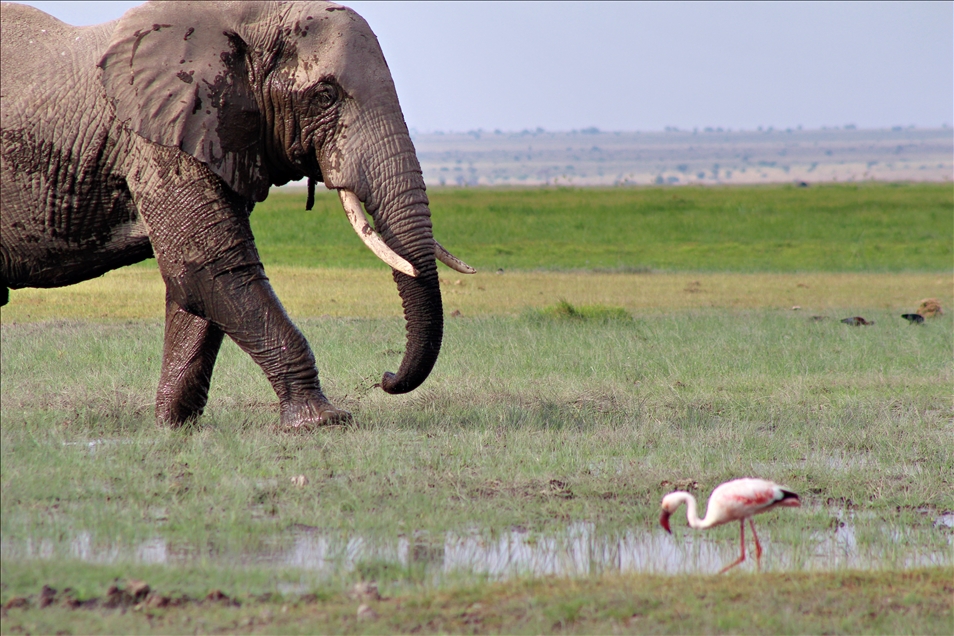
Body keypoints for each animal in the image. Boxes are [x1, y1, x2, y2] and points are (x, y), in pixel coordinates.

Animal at [0, 1, 476, 428]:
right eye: (325, 96)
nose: (385, 378)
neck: (248, 16)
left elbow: (198, 288)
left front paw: (174, 428)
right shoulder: (158, 139)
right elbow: (209, 269)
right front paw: (323, 421)